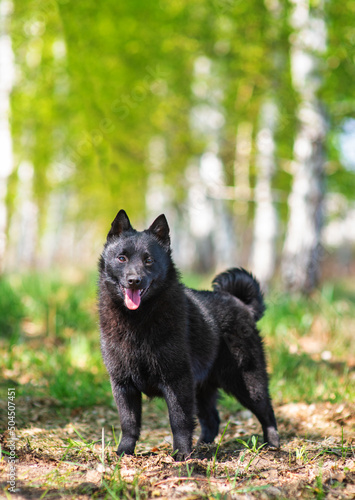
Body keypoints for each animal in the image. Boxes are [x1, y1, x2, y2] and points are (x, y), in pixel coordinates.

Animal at [98, 209, 280, 458]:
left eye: (148, 260)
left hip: (247, 382)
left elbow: (180, 421)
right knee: (212, 419)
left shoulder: (177, 381)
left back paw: (272, 443)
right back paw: (205, 446)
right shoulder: (123, 384)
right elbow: (129, 423)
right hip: (203, 388)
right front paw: (124, 452)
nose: (134, 280)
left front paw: (182, 454)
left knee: (267, 411)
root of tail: (242, 304)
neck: (138, 321)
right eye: (122, 258)